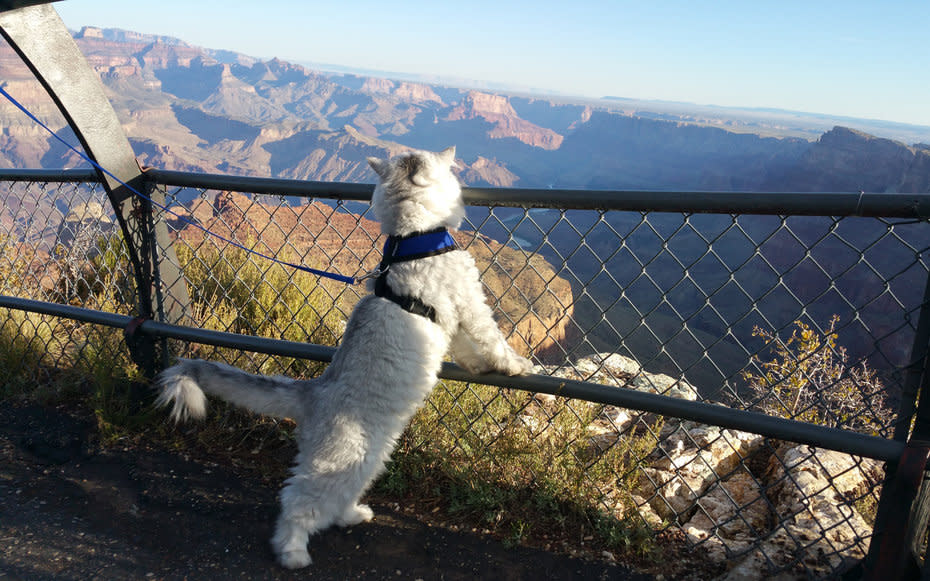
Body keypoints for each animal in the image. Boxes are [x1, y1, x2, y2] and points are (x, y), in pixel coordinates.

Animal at [156, 145, 532, 568]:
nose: (453, 155)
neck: (411, 239)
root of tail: (313, 392)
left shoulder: (454, 322)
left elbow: (470, 351)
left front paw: (483, 366)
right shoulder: (469, 302)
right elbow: (492, 339)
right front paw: (516, 365)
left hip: (369, 460)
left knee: (337, 499)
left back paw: (352, 515)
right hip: (343, 460)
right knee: (297, 502)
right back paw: (292, 551)